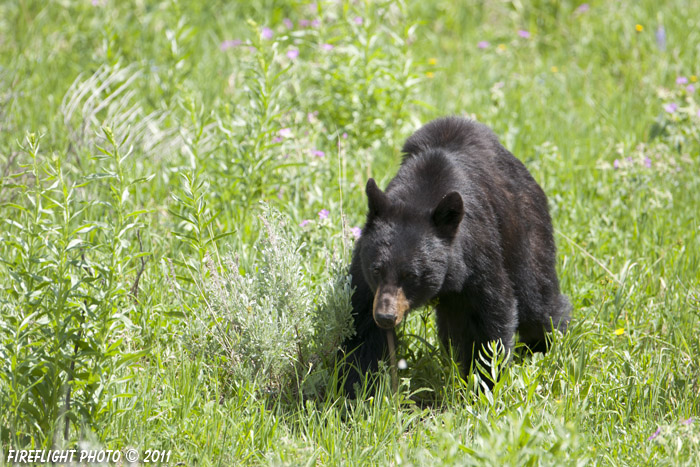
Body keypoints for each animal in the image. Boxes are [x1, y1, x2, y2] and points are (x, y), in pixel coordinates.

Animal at [340, 116, 576, 394]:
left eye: (411, 275)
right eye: (376, 269)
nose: (386, 317)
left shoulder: (476, 256)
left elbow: (490, 317)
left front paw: (484, 384)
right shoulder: (365, 277)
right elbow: (361, 324)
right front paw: (358, 387)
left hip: (524, 230)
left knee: (536, 299)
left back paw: (545, 346)